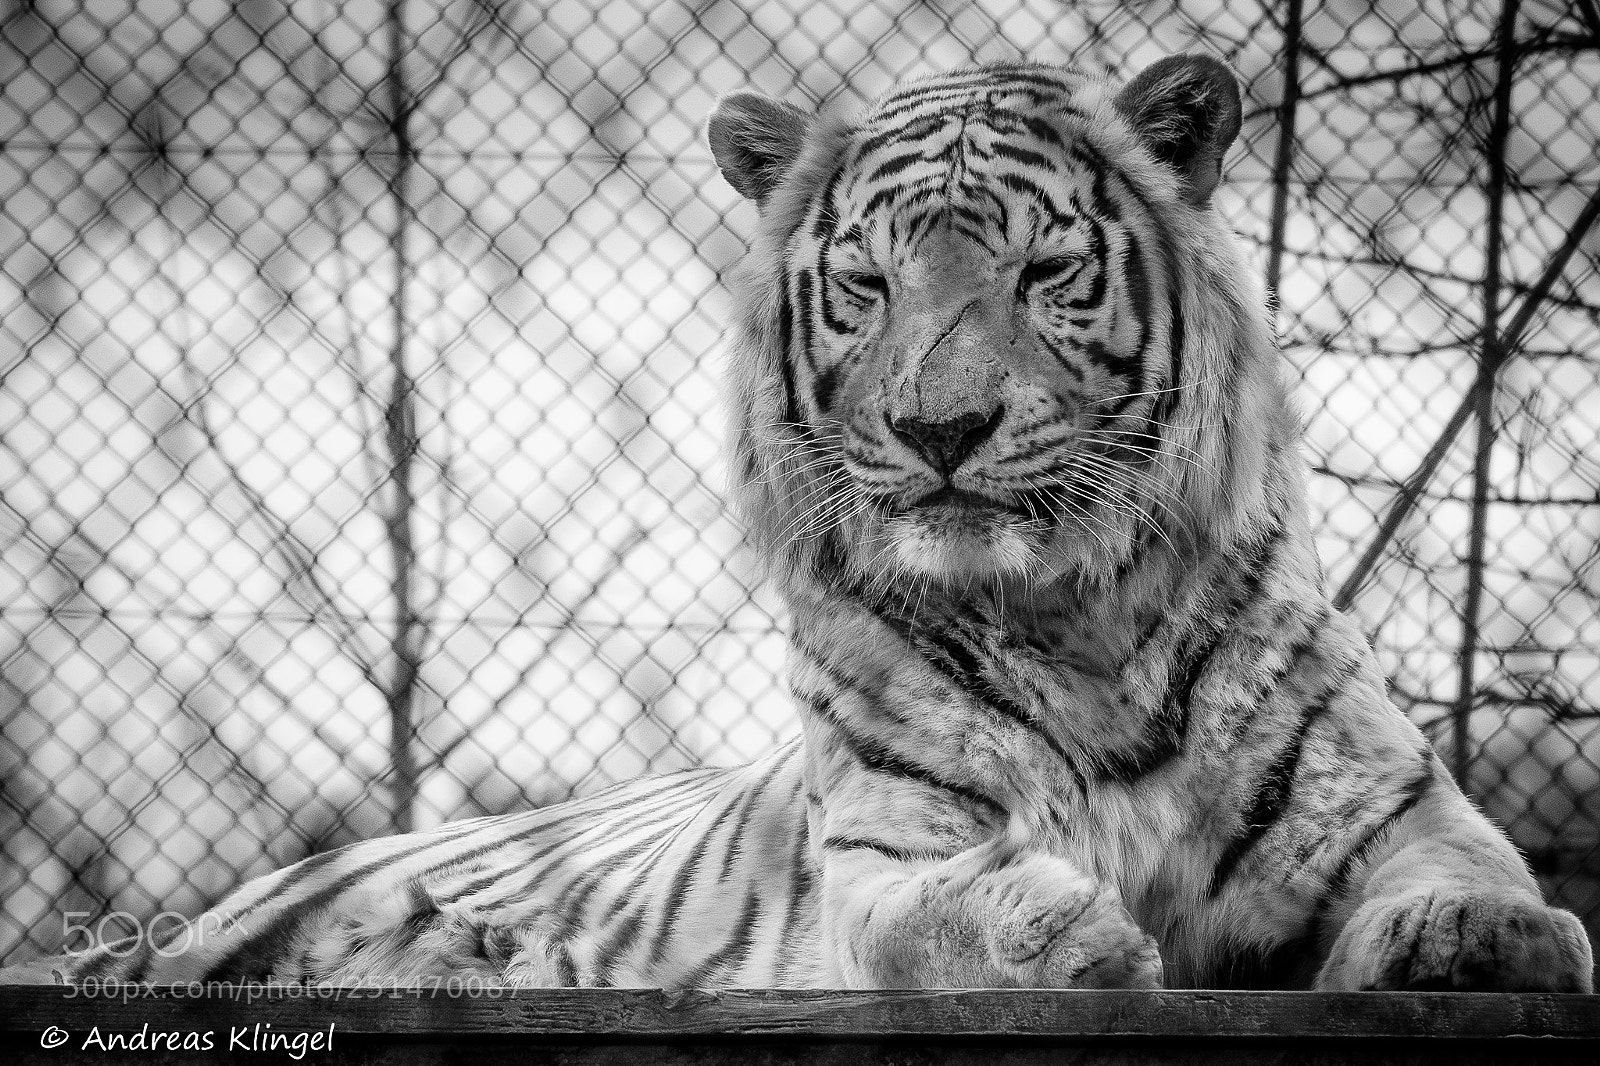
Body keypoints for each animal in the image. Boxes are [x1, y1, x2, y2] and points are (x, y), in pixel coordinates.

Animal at [5, 54, 1592, 993]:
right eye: (869, 285)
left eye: (1044, 273)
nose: (940, 430)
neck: (1074, 618)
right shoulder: (878, 858)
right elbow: (932, 910)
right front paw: (1056, 927)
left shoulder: (1394, 808)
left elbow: (1473, 874)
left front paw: (1481, 937)